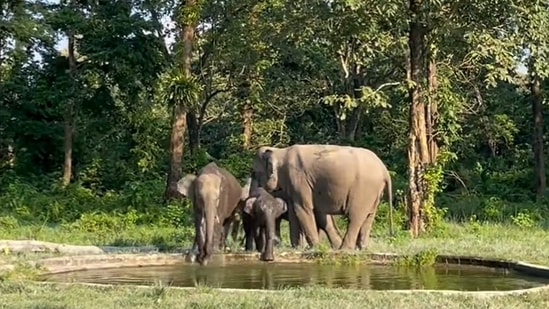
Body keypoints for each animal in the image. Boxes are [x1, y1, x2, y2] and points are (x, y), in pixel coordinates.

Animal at [248, 144, 394, 250]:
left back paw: (344, 249)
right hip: (374, 193)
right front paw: (297, 248)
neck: (280, 151)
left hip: (364, 190)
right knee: (369, 217)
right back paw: (361, 248)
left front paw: (315, 247)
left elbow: (303, 209)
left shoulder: (299, 180)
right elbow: (294, 212)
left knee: (355, 217)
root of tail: (384, 170)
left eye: (254, 173)